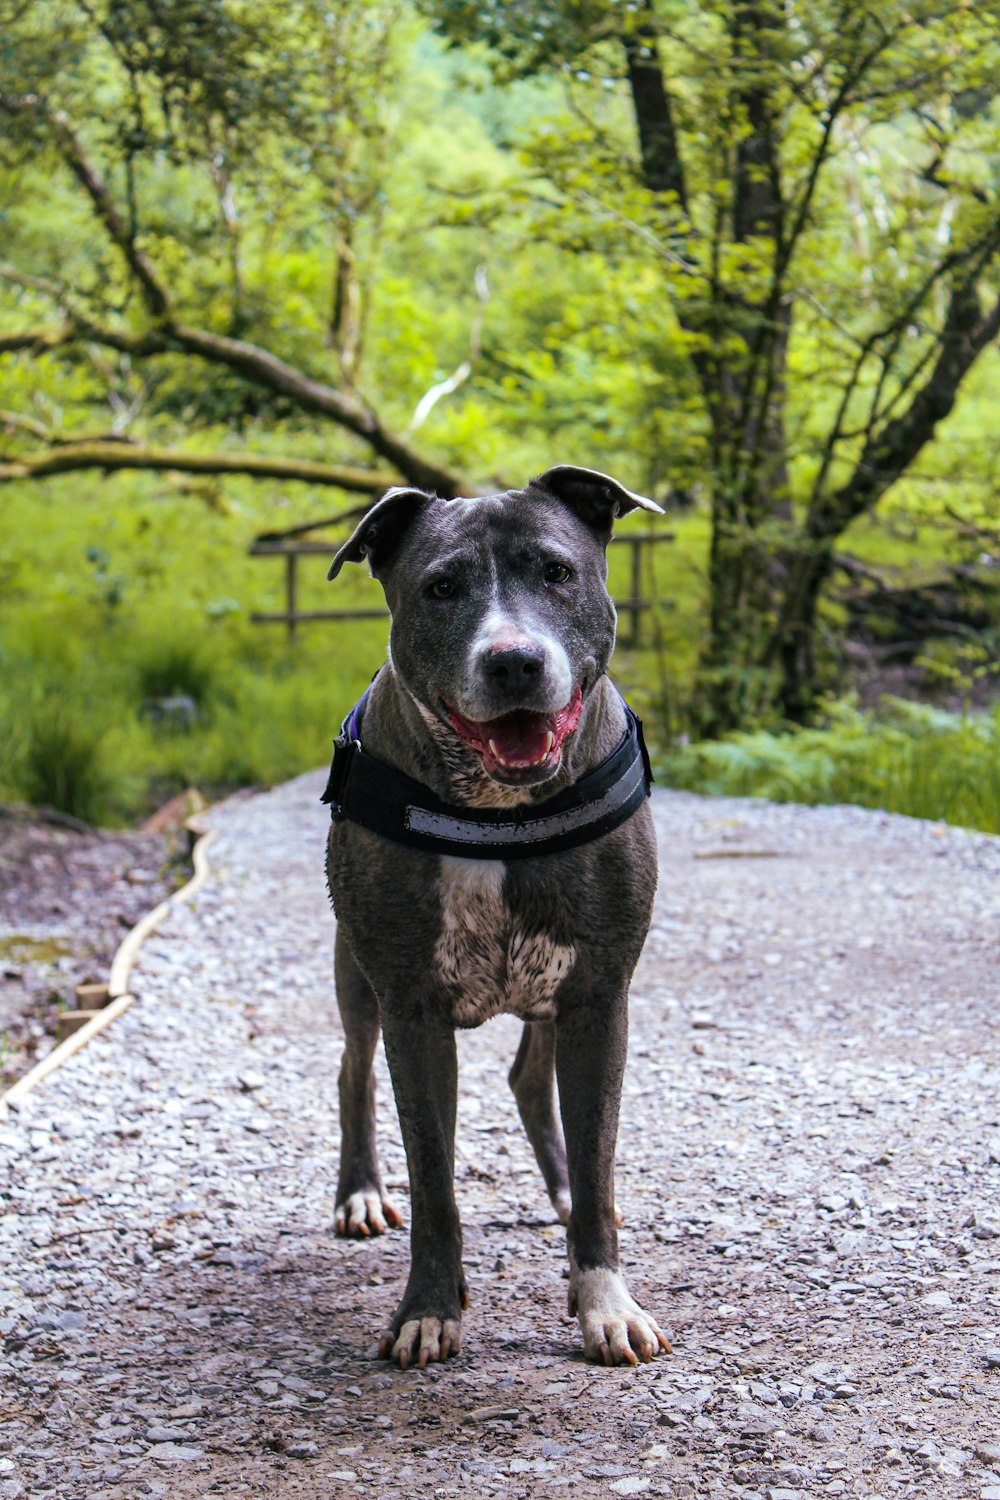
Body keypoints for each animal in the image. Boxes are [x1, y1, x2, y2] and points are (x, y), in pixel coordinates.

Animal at [326, 462, 671, 1368]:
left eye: (556, 571)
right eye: (441, 587)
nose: (514, 660)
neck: (496, 807)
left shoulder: (600, 996)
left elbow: (598, 1157)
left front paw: (603, 1298)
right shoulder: (412, 1009)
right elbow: (435, 1179)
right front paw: (428, 1310)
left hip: (558, 989)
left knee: (531, 1081)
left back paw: (561, 1192)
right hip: (356, 977)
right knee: (352, 1069)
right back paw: (360, 1192)